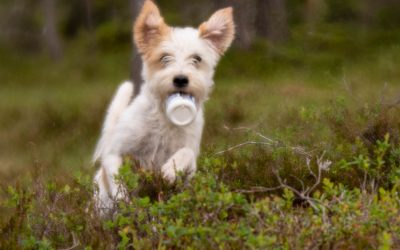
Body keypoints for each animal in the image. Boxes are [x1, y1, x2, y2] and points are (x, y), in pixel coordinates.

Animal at [92, 0, 234, 211]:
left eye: (197, 59)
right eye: (164, 57)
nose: (181, 79)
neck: (164, 118)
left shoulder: (190, 160)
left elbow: (186, 153)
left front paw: (170, 170)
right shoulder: (114, 152)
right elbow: (118, 178)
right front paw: (124, 200)